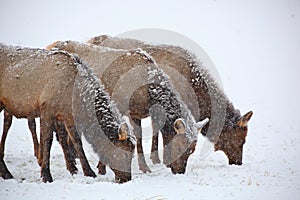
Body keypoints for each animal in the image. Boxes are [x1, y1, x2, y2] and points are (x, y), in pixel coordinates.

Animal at [0, 43, 135, 183]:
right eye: (125, 152)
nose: (127, 178)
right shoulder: (46, 110)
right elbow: (48, 140)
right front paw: (46, 175)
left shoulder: (68, 116)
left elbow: (76, 141)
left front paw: (86, 171)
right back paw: (6, 173)